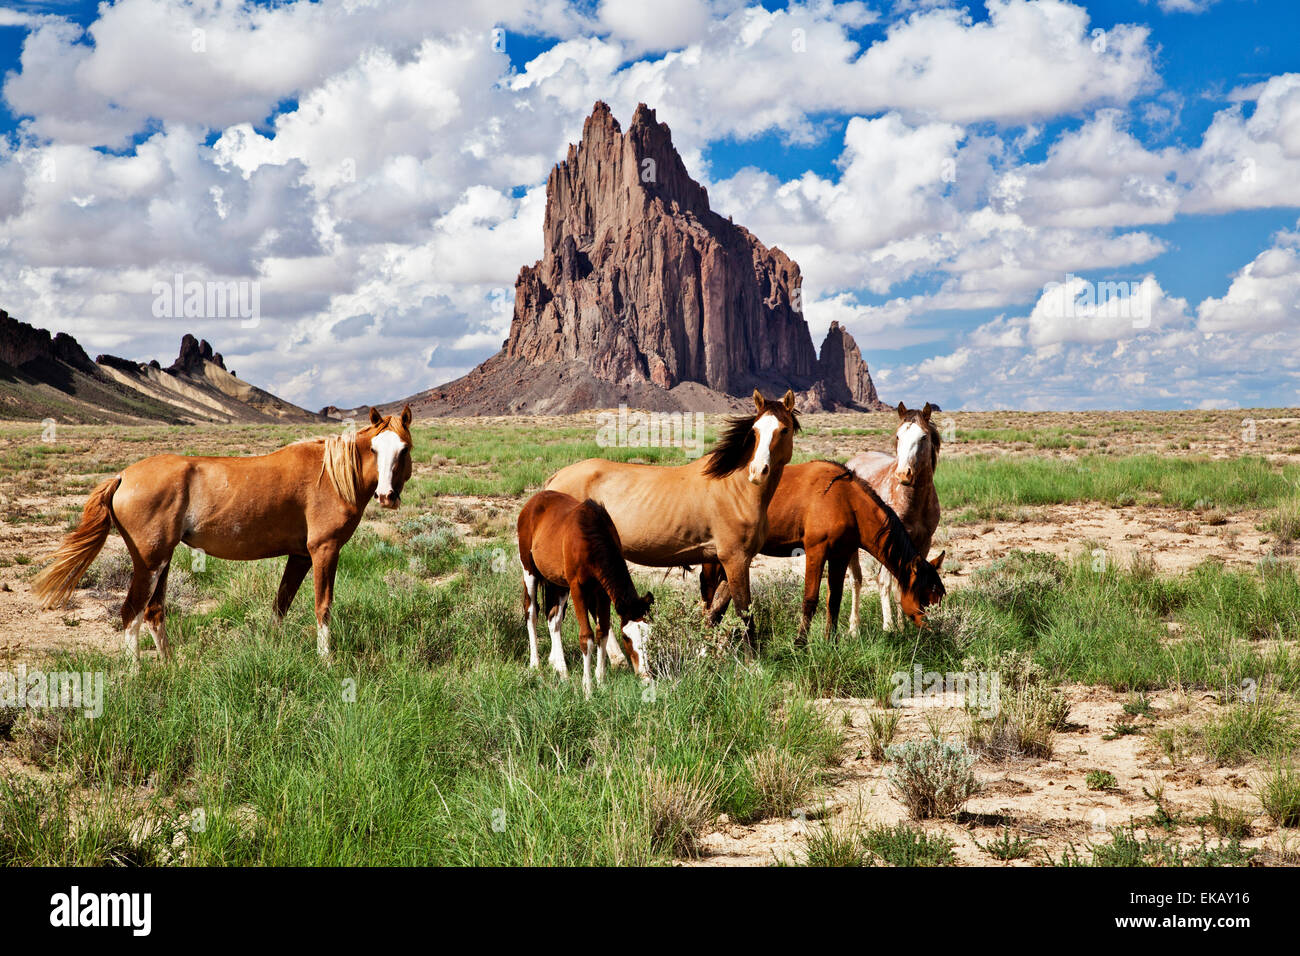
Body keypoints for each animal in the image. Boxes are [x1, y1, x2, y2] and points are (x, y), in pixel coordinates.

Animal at [30, 405, 413, 665]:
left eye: (404, 449)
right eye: (374, 449)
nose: (386, 496)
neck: (332, 475)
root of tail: (123, 476)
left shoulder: (300, 555)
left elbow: (281, 604)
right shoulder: (324, 550)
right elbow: (323, 607)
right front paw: (327, 661)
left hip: (163, 560)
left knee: (154, 612)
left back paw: (171, 667)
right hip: (149, 562)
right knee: (131, 613)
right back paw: (136, 675)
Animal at [517, 494, 655, 697]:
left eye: (649, 636)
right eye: (626, 637)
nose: (645, 676)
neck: (590, 537)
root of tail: (533, 501)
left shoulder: (602, 591)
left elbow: (602, 631)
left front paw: (601, 682)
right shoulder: (578, 588)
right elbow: (586, 636)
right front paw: (588, 689)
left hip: (559, 583)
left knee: (553, 619)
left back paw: (561, 669)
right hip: (530, 571)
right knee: (531, 612)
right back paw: (536, 666)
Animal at [543, 390, 795, 650]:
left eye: (784, 430)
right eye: (754, 431)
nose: (757, 471)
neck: (736, 489)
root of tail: (556, 478)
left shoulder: (729, 561)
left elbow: (716, 610)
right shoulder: (734, 558)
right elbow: (744, 612)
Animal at [702, 457, 946, 639]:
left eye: (940, 594)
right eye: (925, 594)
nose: (938, 628)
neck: (846, 500)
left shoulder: (841, 554)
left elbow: (834, 600)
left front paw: (831, 641)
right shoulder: (816, 551)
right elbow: (810, 599)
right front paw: (800, 644)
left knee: (716, 604)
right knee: (709, 600)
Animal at [842, 403, 946, 632]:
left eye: (923, 437)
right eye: (898, 436)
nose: (903, 475)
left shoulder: (923, 543)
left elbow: (903, 583)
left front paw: (903, 624)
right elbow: (885, 581)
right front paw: (889, 626)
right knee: (856, 580)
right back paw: (853, 628)